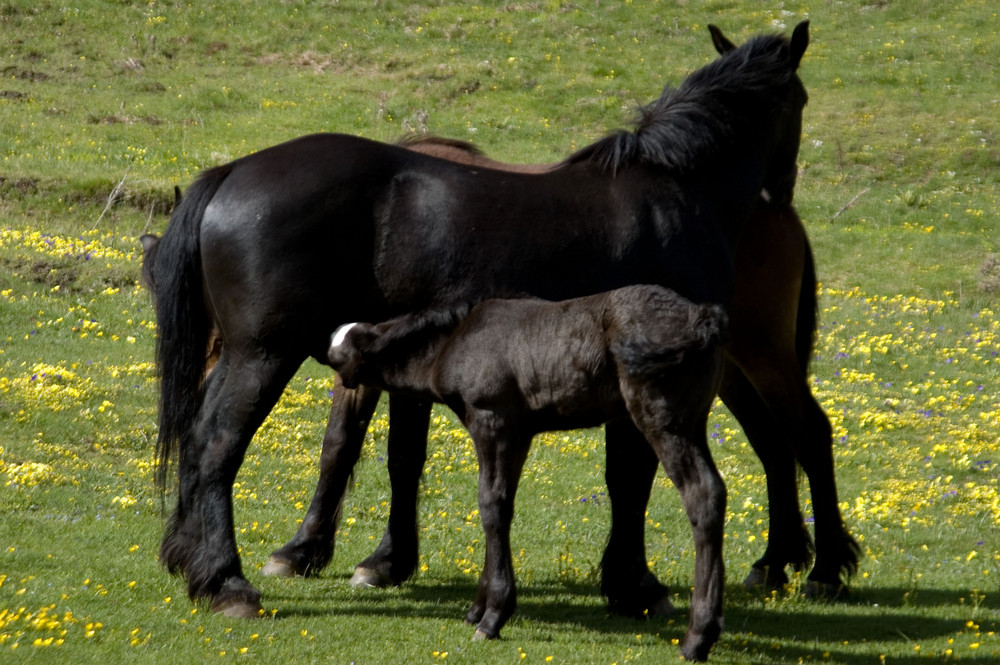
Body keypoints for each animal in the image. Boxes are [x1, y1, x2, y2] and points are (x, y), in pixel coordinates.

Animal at [152, 23, 816, 620]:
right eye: (803, 100)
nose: (782, 195)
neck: (674, 194)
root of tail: (232, 173)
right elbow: (630, 477)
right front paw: (634, 586)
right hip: (261, 354)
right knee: (216, 444)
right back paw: (226, 583)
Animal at [328, 284, 728, 660]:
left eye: (338, 362)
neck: (458, 337)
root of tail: (700, 318)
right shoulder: (518, 434)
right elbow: (501, 505)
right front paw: (478, 609)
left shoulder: (493, 422)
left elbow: (491, 508)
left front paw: (492, 617)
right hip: (694, 422)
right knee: (716, 493)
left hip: (664, 421)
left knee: (702, 495)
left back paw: (696, 638)